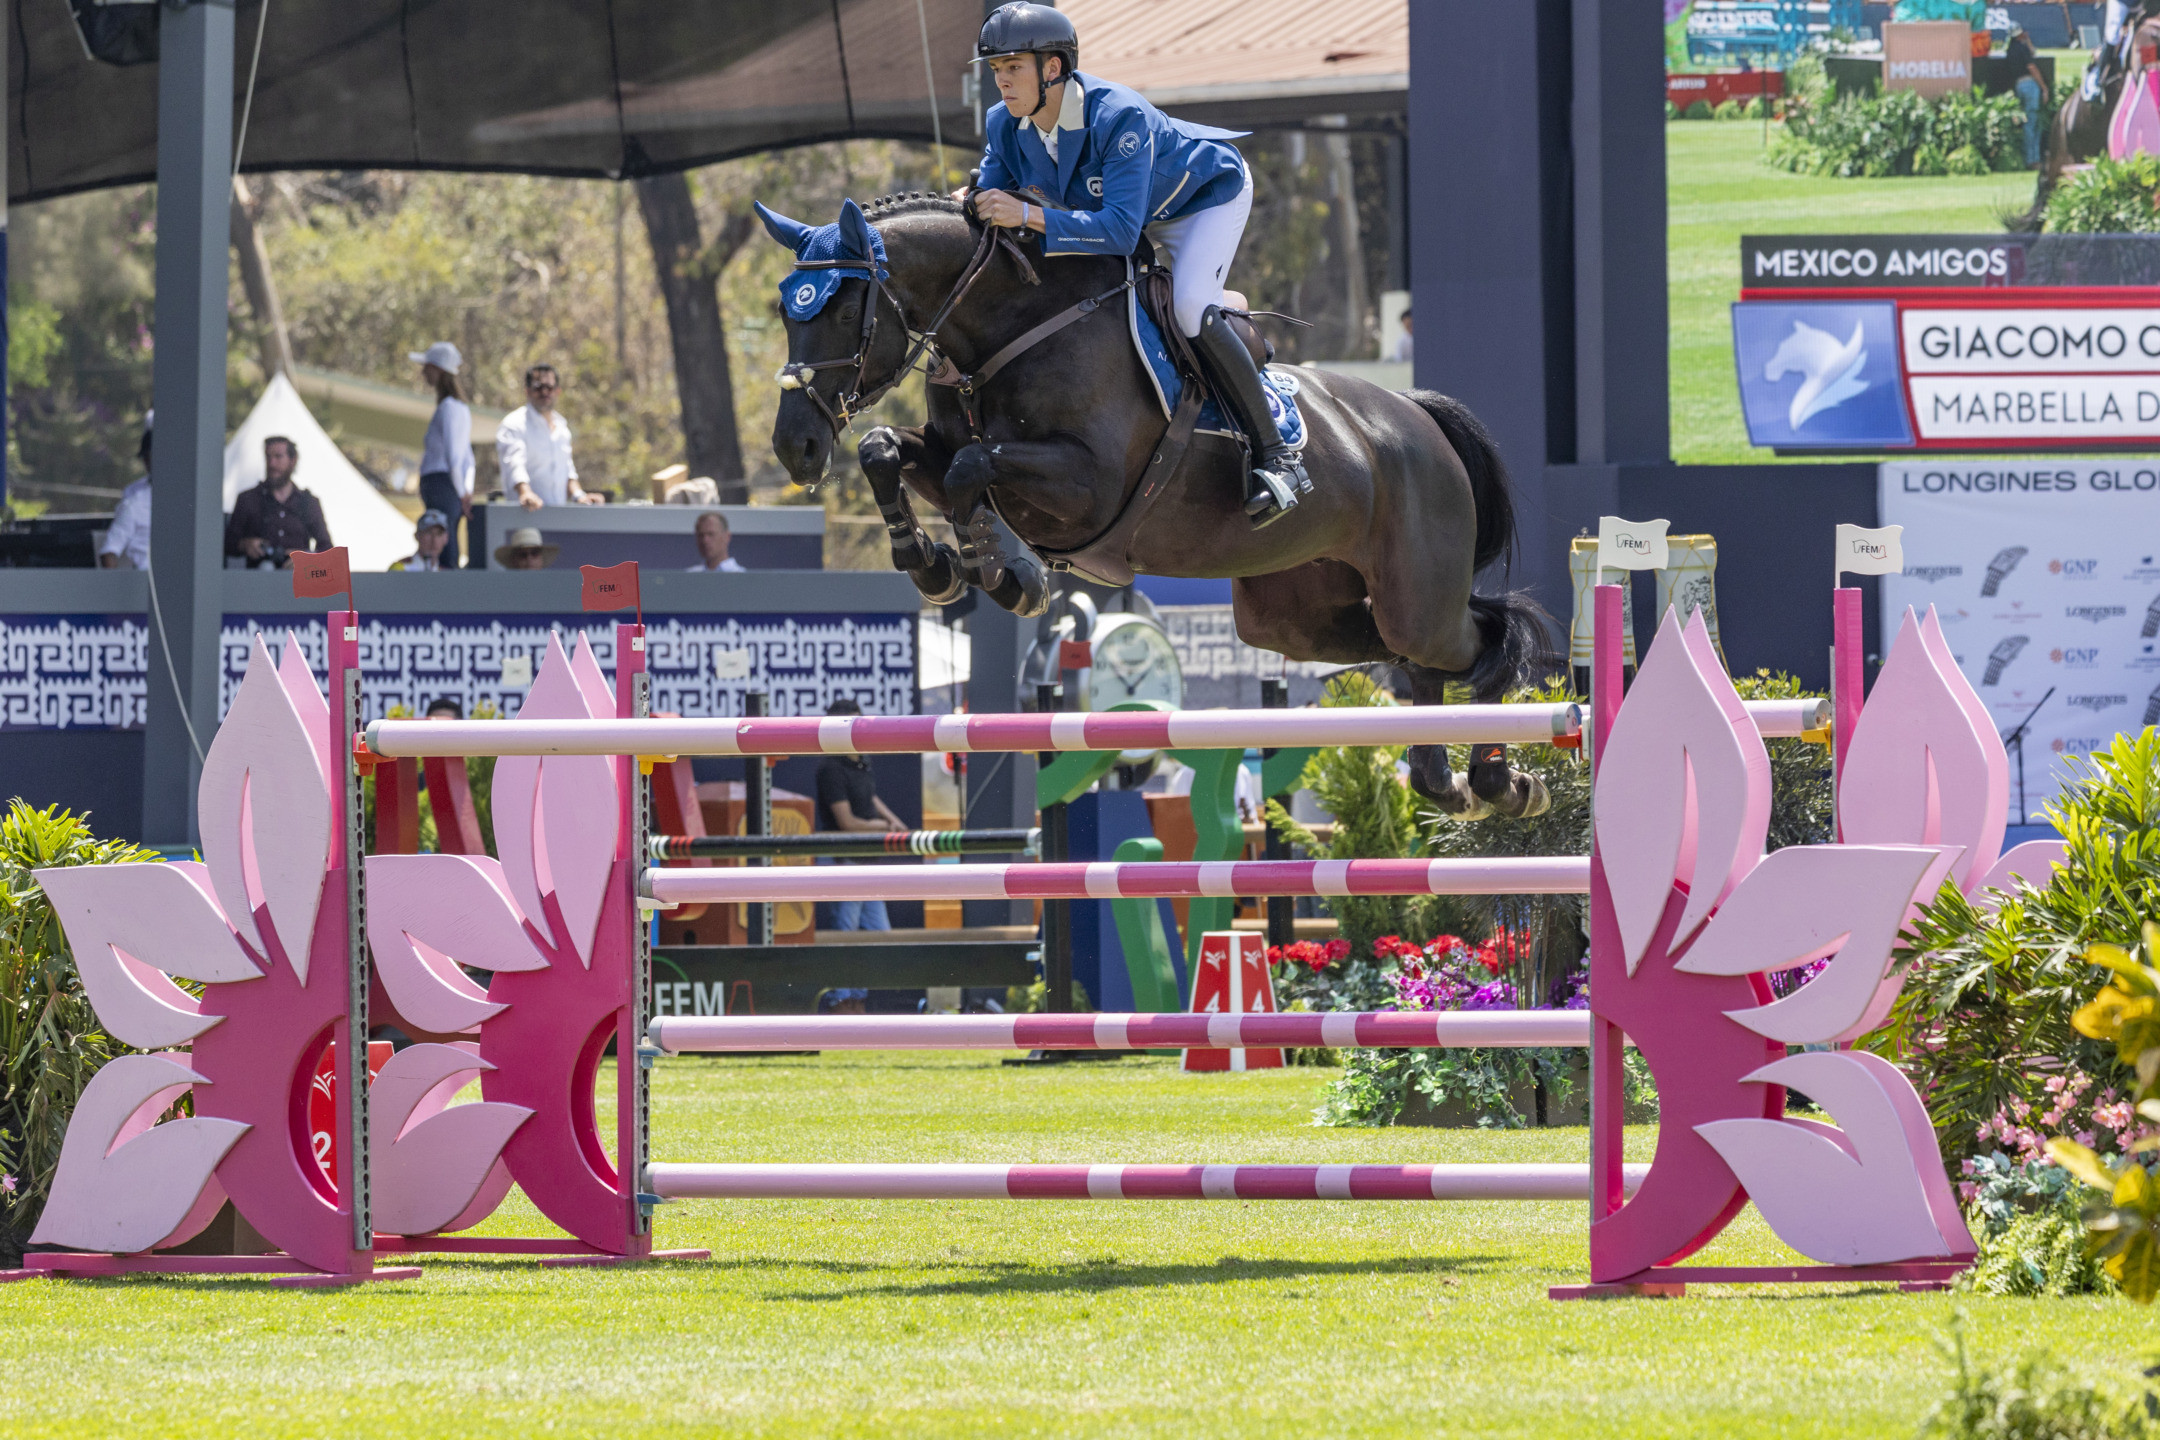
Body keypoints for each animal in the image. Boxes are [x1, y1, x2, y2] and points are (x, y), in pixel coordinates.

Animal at [760, 193, 1555, 820]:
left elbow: (970, 470)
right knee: (1410, 658)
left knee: (1478, 643)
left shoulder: (1087, 485)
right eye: (785, 311)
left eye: (842, 310)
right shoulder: (945, 450)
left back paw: (1502, 781)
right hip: (1295, 617)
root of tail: (1417, 416)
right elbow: (888, 451)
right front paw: (929, 563)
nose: (795, 448)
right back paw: (1448, 779)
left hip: (1415, 595)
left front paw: (1006, 574)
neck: (1011, 328)